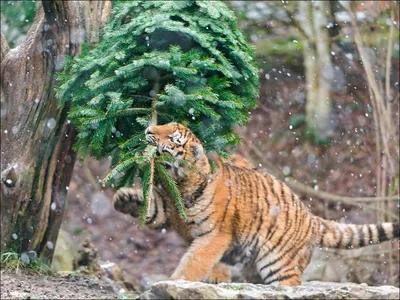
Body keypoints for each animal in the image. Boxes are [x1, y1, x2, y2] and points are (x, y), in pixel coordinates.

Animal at [112, 122, 400, 286]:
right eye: (162, 125)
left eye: (172, 138)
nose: (148, 130)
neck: (177, 184)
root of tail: (311, 218)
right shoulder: (168, 206)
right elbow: (152, 208)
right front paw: (124, 198)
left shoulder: (215, 233)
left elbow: (195, 259)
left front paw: (176, 281)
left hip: (279, 262)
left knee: (291, 284)